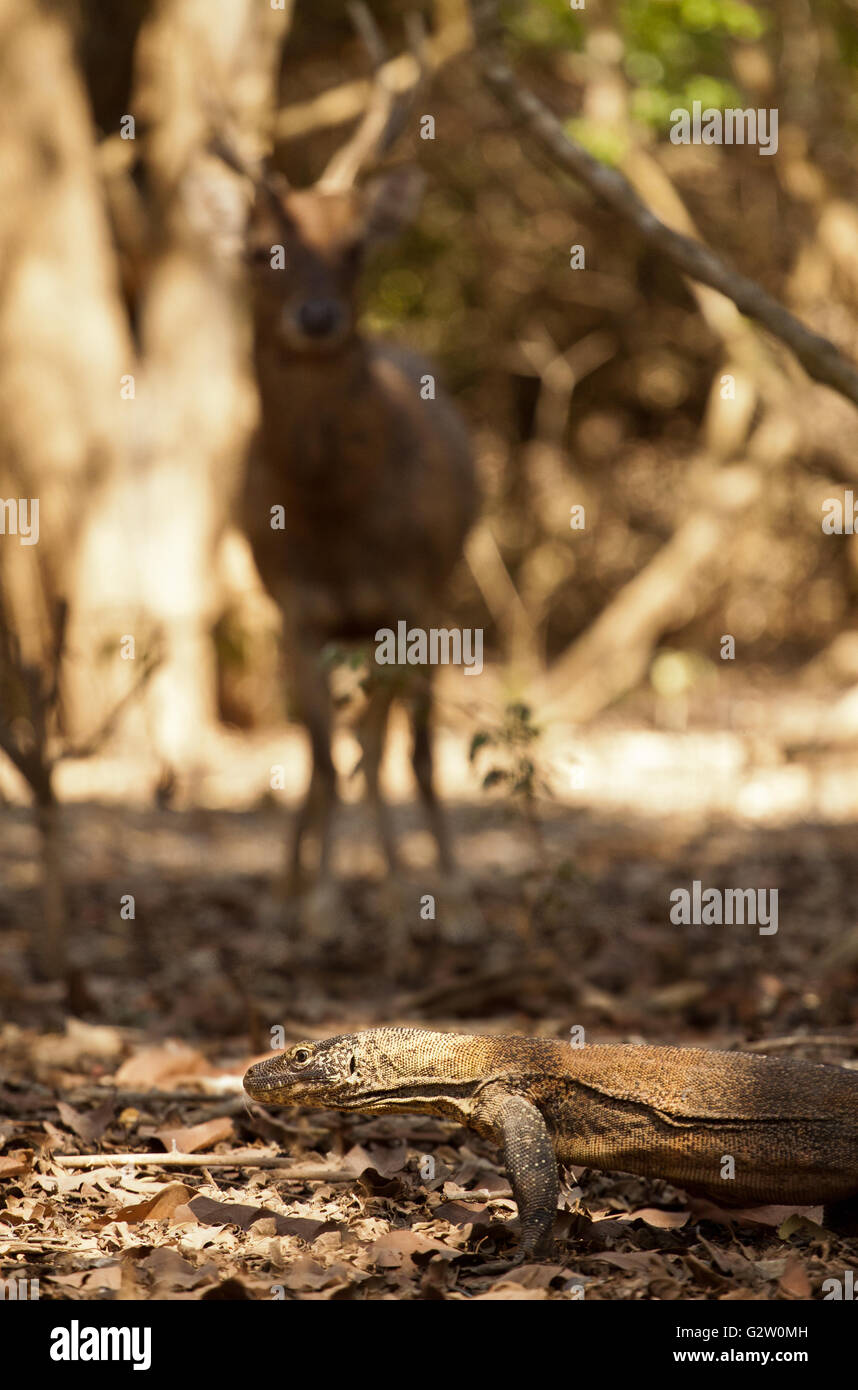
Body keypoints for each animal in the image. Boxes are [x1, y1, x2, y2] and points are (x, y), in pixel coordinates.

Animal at [230, 8, 478, 945]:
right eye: (259, 250)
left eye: (357, 246)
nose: (316, 317)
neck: (334, 517)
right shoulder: (295, 607)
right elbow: (321, 757)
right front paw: (318, 904)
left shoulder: (411, 595)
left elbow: (392, 751)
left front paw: (425, 895)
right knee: (326, 752)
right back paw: (292, 885)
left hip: (427, 601)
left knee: (402, 745)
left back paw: (427, 882)